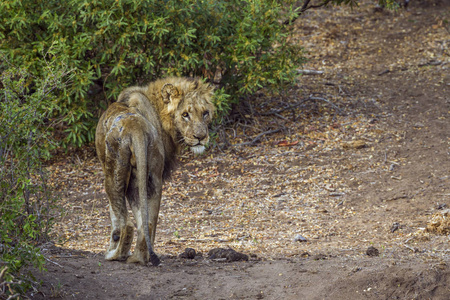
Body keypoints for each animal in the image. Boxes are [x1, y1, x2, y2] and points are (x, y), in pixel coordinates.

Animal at [94, 77, 214, 264]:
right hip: (151, 177)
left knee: (126, 223)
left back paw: (116, 255)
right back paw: (140, 258)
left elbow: (113, 214)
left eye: (205, 113)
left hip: (113, 174)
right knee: (147, 222)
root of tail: (135, 126)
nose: (201, 137)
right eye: (185, 115)